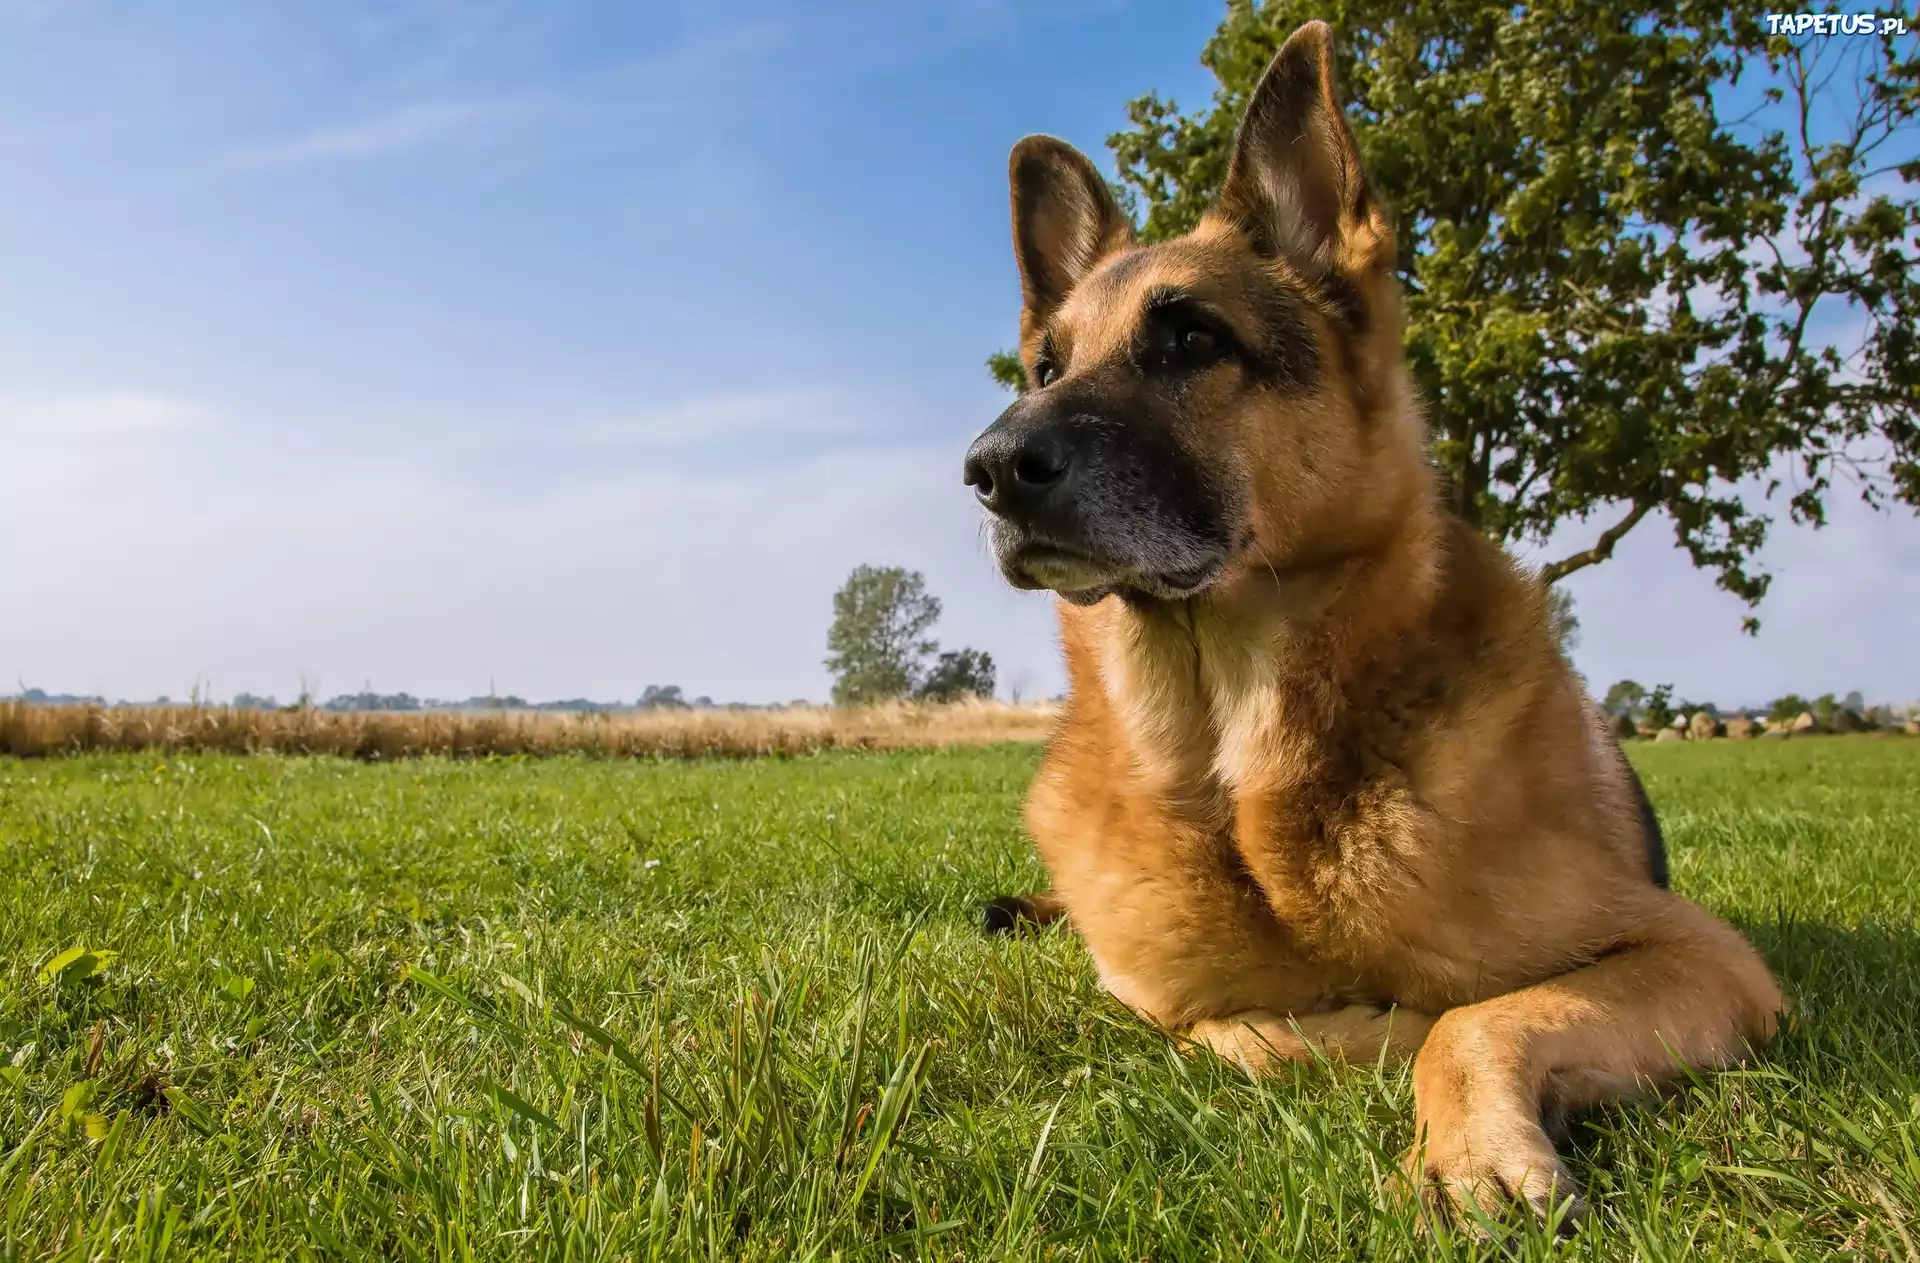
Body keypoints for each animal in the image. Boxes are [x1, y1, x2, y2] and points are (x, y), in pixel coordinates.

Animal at [960, 17, 1781, 1220]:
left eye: (1191, 340)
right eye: (1045, 367)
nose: (988, 470)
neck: (1237, 776)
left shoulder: (1705, 956)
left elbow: (1472, 1016)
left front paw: (1466, 1145)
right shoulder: (1165, 1003)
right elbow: (1241, 1030)